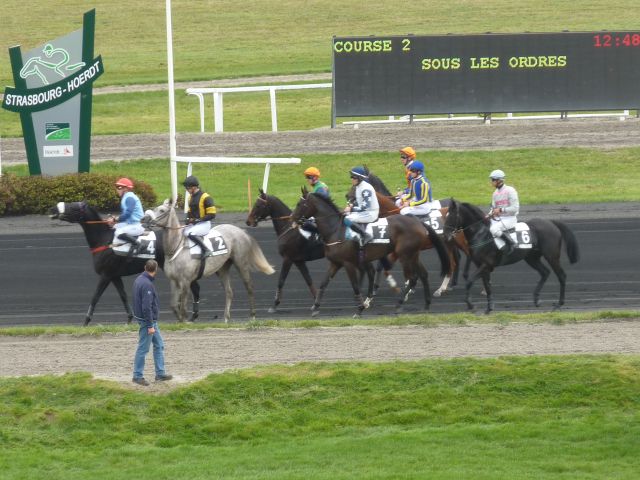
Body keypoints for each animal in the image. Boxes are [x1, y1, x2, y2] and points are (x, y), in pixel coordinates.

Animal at [145, 200, 275, 322]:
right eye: (155, 208)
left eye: (161, 210)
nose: (144, 218)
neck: (176, 248)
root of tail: (241, 230)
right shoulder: (173, 280)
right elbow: (173, 305)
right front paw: (181, 320)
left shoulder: (185, 281)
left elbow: (183, 307)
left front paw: (186, 321)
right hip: (222, 269)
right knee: (229, 291)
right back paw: (226, 318)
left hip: (241, 263)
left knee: (249, 286)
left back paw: (252, 315)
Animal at [291, 188, 450, 317]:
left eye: (299, 204)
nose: (292, 219)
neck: (336, 230)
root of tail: (418, 222)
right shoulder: (335, 263)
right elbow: (323, 284)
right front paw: (316, 307)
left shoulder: (348, 263)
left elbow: (356, 286)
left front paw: (360, 308)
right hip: (413, 254)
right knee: (423, 274)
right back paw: (426, 304)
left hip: (405, 255)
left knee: (412, 278)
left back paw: (400, 304)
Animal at [443, 199, 580, 313]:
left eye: (451, 216)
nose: (445, 235)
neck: (481, 234)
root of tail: (551, 222)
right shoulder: (483, 266)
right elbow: (487, 286)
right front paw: (489, 307)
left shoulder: (486, 264)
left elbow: (470, 282)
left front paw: (471, 305)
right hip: (531, 258)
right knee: (545, 272)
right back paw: (536, 300)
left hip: (552, 256)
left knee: (561, 276)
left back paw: (559, 304)